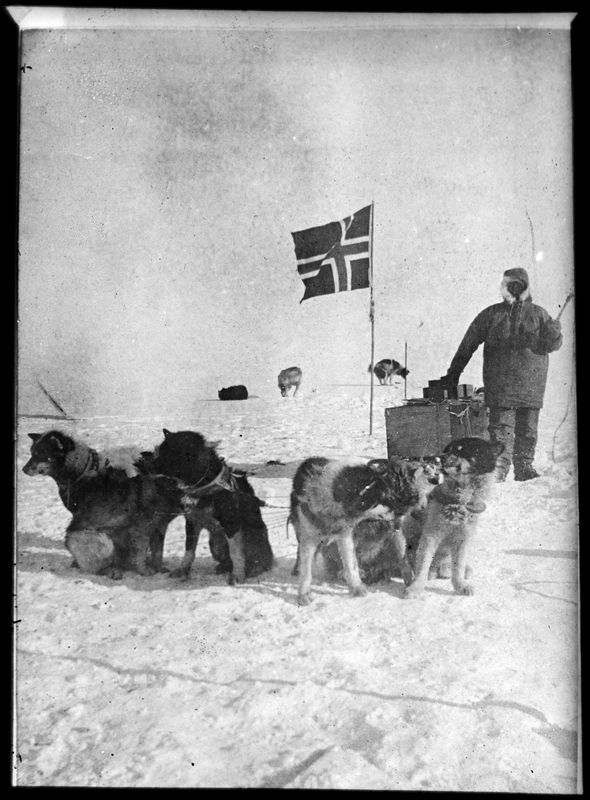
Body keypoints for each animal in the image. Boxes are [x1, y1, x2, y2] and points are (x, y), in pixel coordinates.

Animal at [148, 428, 278, 584]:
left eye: (168, 453)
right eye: (159, 451)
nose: (149, 466)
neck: (204, 486)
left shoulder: (231, 523)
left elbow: (236, 552)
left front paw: (238, 574)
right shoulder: (192, 522)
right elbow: (189, 550)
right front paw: (183, 569)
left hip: (251, 538)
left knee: (256, 559)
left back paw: (253, 568)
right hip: (216, 543)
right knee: (226, 561)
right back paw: (223, 567)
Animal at [292, 456, 426, 608]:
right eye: (387, 501)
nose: (397, 523)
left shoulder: (345, 536)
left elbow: (351, 564)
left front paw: (356, 588)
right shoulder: (309, 540)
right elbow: (306, 572)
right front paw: (303, 595)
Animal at [404, 438, 506, 592]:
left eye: (461, 450)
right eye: (448, 449)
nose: (439, 457)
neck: (459, 499)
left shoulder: (463, 536)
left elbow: (458, 565)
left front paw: (460, 586)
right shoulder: (431, 535)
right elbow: (423, 564)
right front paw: (416, 588)